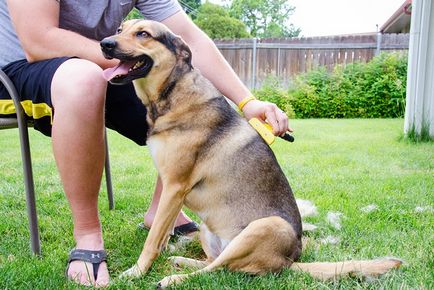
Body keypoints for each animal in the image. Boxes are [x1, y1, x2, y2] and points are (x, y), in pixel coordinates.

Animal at [100, 19, 402, 288]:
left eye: (143, 34)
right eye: (120, 29)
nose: (104, 44)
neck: (171, 94)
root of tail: (289, 262)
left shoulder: (175, 186)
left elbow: (153, 240)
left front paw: (136, 272)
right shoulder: (169, 186)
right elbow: (161, 235)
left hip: (267, 226)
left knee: (218, 271)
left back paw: (176, 278)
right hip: (209, 229)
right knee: (215, 263)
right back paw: (182, 261)